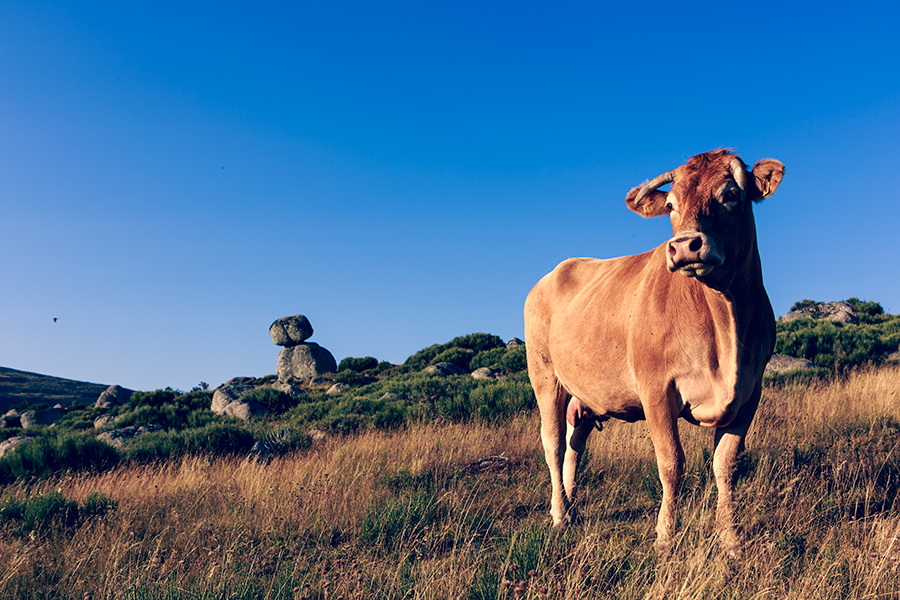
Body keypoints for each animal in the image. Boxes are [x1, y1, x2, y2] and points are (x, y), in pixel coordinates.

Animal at [524, 150, 784, 556]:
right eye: (672, 206)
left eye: (729, 195)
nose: (684, 246)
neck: (726, 325)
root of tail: (555, 271)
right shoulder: (656, 390)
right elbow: (671, 463)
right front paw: (665, 536)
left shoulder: (749, 392)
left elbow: (726, 465)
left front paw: (731, 539)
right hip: (545, 376)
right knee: (552, 443)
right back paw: (560, 513)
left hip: (584, 395)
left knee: (573, 445)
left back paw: (571, 502)